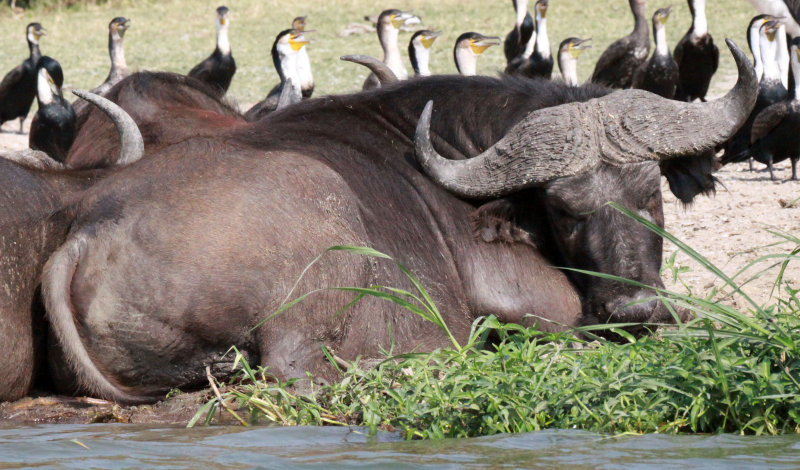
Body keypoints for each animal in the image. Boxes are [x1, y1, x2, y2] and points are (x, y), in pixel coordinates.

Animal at [42, 40, 756, 404]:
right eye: (563, 207)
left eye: (650, 193)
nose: (634, 307)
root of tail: (87, 233)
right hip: (316, 225)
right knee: (301, 368)